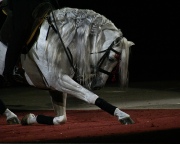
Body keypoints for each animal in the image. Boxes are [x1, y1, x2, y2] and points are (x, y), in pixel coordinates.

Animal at [0, 7, 134, 125]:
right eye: (112, 59)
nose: (98, 85)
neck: (57, 40)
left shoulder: (55, 86)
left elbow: (61, 118)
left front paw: (29, 118)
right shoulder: (57, 80)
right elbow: (89, 96)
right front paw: (123, 115)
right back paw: (11, 116)